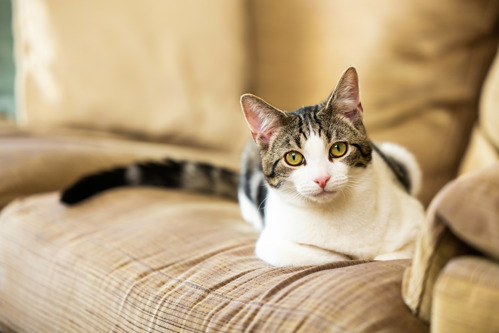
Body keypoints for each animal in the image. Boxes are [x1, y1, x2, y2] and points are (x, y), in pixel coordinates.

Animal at [60, 66, 424, 266]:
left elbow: (397, 254)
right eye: (294, 158)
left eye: (338, 149)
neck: (338, 217)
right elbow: (329, 255)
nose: (321, 179)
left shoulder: (415, 221)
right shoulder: (275, 244)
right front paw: (350, 256)